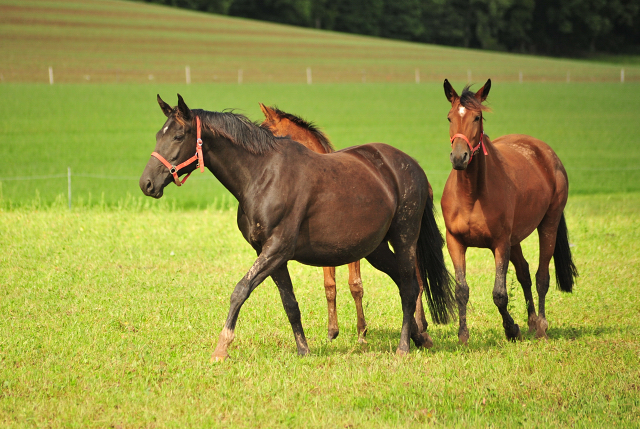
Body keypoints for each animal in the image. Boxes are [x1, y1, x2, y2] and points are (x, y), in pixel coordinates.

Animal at [139, 95, 456, 360]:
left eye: (178, 136)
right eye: (157, 135)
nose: (147, 184)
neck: (262, 175)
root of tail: (413, 166)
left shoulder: (277, 249)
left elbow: (240, 290)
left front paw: (221, 347)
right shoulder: (271, 255)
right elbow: (289, 303)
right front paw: (304, 350)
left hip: (404, 238)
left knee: (410, 285)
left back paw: (404, 346)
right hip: (374, 249)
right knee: (405, 283)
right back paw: (419, 337)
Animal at [442, 78, 576, 342]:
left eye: (477, 117)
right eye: (450, 117)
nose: (459, 157)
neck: (471, 195)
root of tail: (545, 152)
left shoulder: (500, 243)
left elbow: (500, 294)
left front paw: (511, 329)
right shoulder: (455, 242)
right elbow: (461, 289)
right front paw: (463, 335)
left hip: (548, 225)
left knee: (541, 276)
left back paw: (541, 326)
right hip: (516, 240)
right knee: (524, 273)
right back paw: (532, 321)